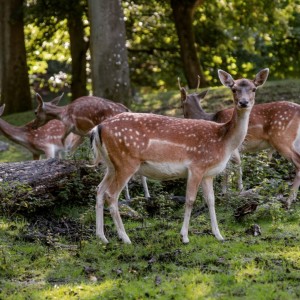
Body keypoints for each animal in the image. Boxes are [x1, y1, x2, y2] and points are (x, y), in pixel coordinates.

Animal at [89, 68, 270, 244]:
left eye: (254, 88)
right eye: (233, 89)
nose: (244, 102)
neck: (222, 141)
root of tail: (98, 128)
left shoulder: (208, 173)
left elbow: (211, 200)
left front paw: (219, 236)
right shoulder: (196, 166)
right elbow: (190, 200)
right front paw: (184, 237)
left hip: (111, 165)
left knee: (99, 190)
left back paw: (102, 237)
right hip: (126, 162)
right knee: (111, 195)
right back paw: (125, 238)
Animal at [179, 72, 300, 209]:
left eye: (181, 105)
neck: (212, 118)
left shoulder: (233, 147)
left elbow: (234, 167)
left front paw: (234, 191)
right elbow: (228, 169)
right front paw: (226, 191)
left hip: (282, 138)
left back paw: (288, 201)